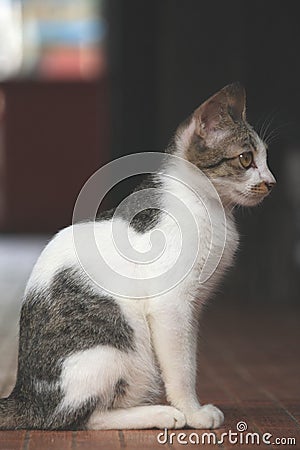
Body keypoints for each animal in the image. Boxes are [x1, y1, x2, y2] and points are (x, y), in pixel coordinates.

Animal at [0, 82, 276, 430]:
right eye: (245, 158)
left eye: (266, 159)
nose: (271, 183)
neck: (212, 208)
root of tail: (25, 396)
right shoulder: (170, 305)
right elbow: (181, 367)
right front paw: (193, 412)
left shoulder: (193, 308)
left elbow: (189, 356)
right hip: (113, 346)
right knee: (83, 418)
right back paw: (160, 413)